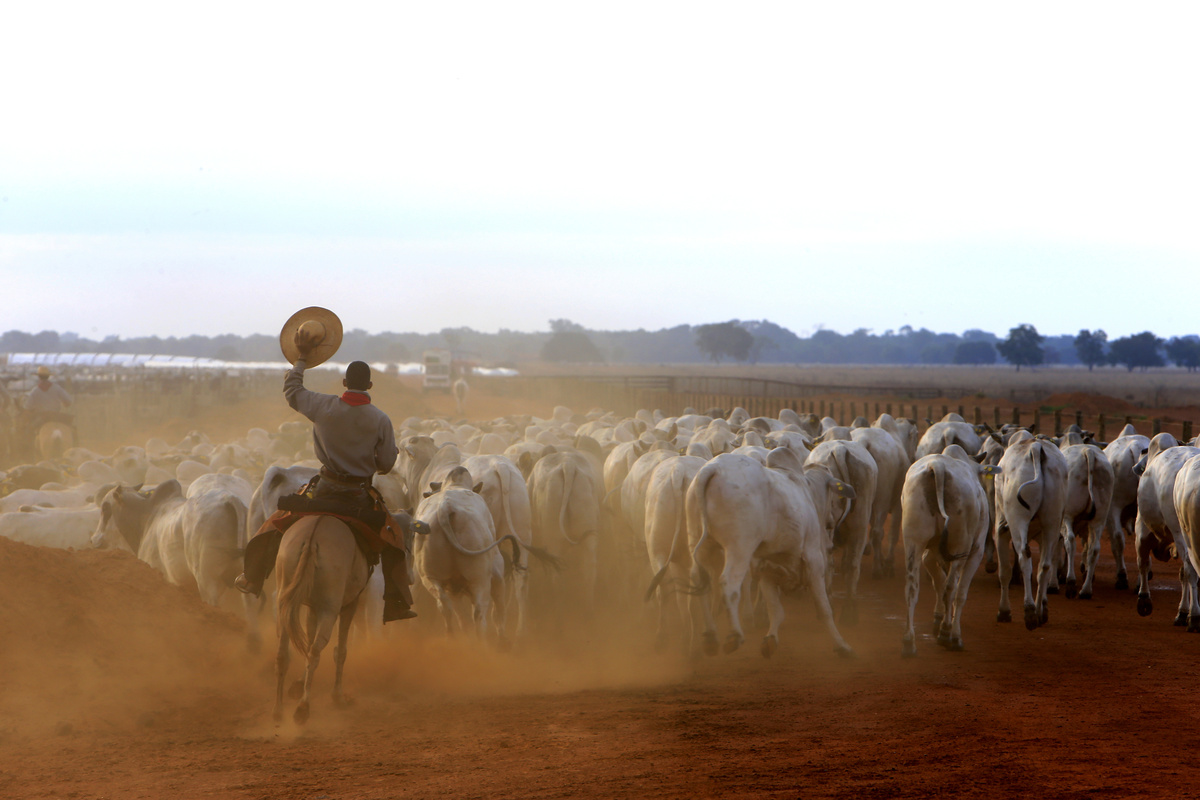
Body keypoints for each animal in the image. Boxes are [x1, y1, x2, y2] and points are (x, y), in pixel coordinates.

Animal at [274, 515, 367, 729]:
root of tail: (311, 541)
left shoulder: (312, 606)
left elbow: (307, 641)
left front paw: (298, 685)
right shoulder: (349, 603)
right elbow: (340, 651)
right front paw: (338, 697)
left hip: (285, 599)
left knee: (284, 653)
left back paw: (279, 711)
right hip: (329, 609)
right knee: (316, 652)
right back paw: (303, 709)